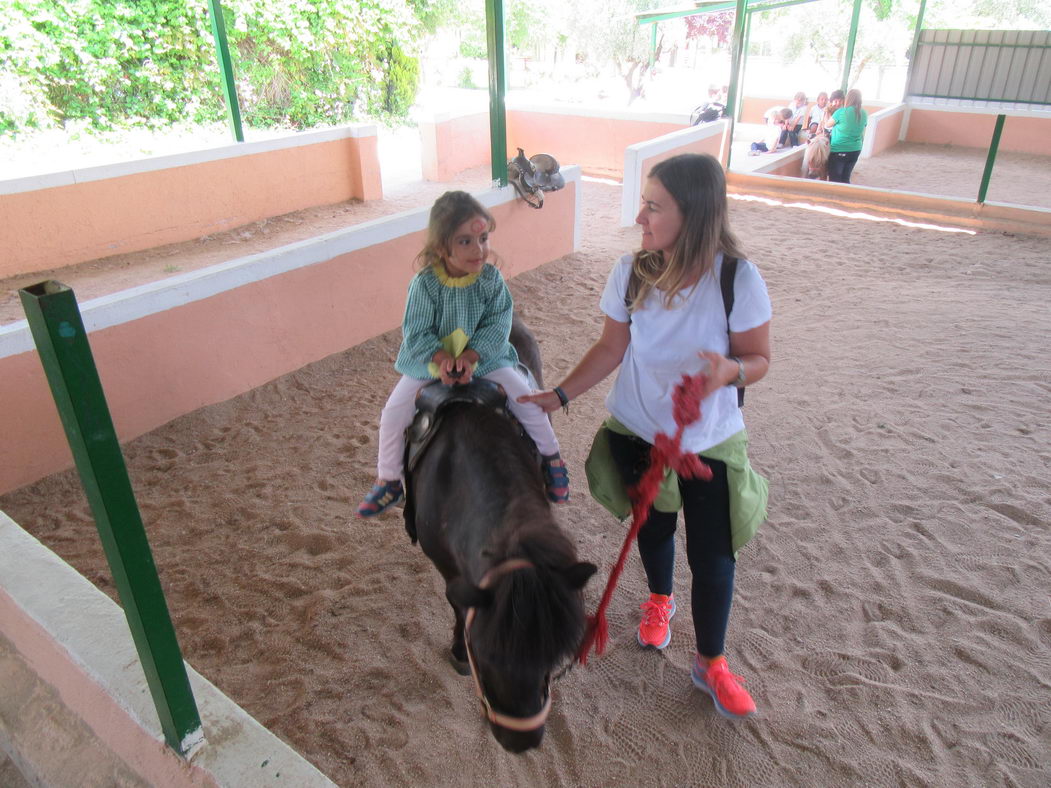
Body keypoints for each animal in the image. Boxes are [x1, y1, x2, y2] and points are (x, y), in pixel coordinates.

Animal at [405, 315, 596, 752]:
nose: (520, 741)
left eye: (553, 657)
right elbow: (457, 604)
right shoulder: (447, 567)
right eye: (486, 654)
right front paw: (457, 651)